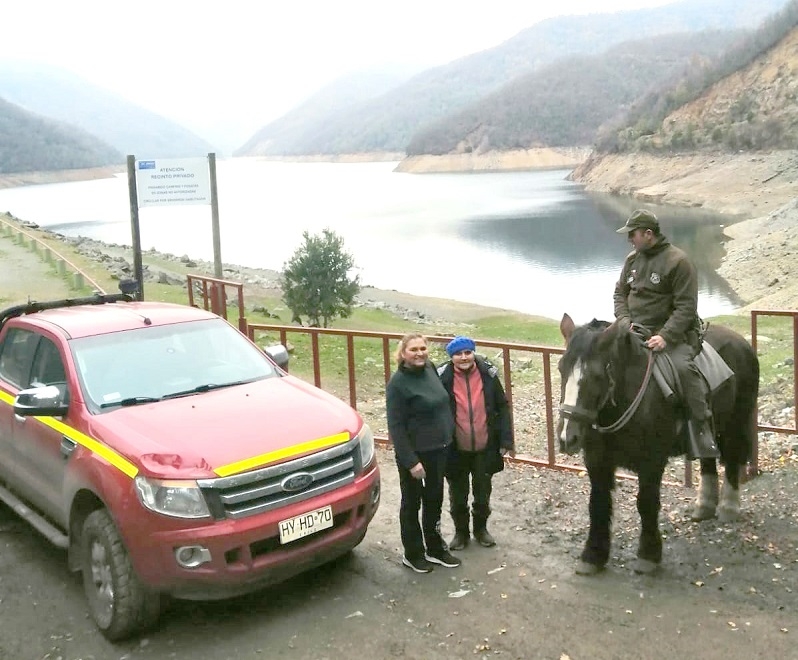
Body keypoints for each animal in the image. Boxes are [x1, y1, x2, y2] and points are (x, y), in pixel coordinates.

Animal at [560, 314, 760, 572]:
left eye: (595, 375)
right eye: (561, 368)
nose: (568, 438)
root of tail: (742, 343)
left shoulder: (652, 461)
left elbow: (646, 503)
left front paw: (648, 555)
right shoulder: (597, 461)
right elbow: (598, 502)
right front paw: (592, 556)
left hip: (736, 422)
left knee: (733, 459)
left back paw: (728, 508)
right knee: (708, 459)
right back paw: (704, 507)